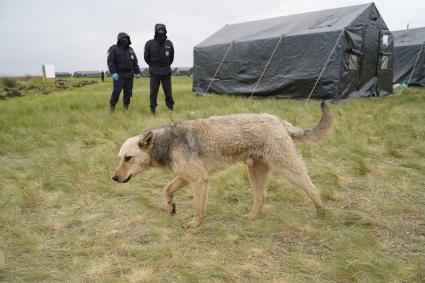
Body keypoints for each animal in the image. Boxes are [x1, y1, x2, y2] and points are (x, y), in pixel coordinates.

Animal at [112, 102, 332, 229]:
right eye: (120, 158)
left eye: (128, 158)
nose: (114, 178)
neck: (166, 142)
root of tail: (280, 122)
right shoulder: (186, 177)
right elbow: (167, 189)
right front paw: (171, 206)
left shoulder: (199, 180)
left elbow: (198, 207)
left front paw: (195, 224)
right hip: (255, 172)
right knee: (261, 197)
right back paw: (251, 217)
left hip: (289, 168)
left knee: (312, 188)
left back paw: (321, 213)